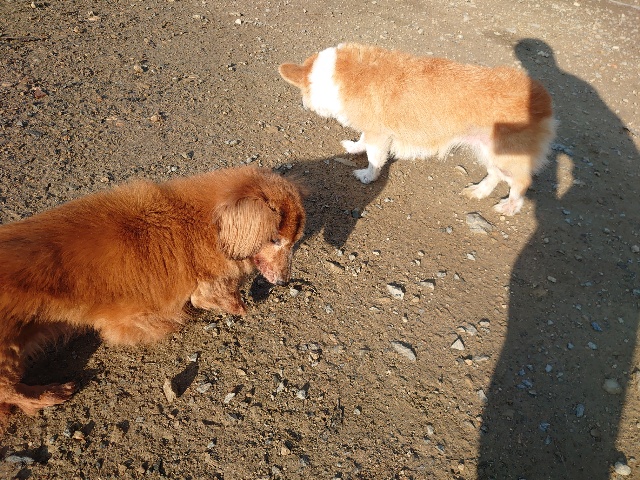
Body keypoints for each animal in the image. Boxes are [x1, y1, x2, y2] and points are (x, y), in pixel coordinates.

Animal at [0, 166, 305, 420]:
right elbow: (216, 296)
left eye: (294, 242)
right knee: (12, 392)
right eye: (275, 240)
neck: (206, 225)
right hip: (7, 352)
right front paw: (238, 305)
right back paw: (54, 393)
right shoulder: (204, 284)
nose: (284, 282)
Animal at [279, 43, 557, 215]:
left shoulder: (379, 134)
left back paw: (509, 206)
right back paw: (479, 191)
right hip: (488, 151)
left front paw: (367, 176)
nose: (302, 105)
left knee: (521, 182)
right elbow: (362, 141)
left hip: (507, 157)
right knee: (495, 175)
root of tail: (544, 99)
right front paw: (354, 147)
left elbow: (374, 159)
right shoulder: (371, 129)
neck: (341, 74)